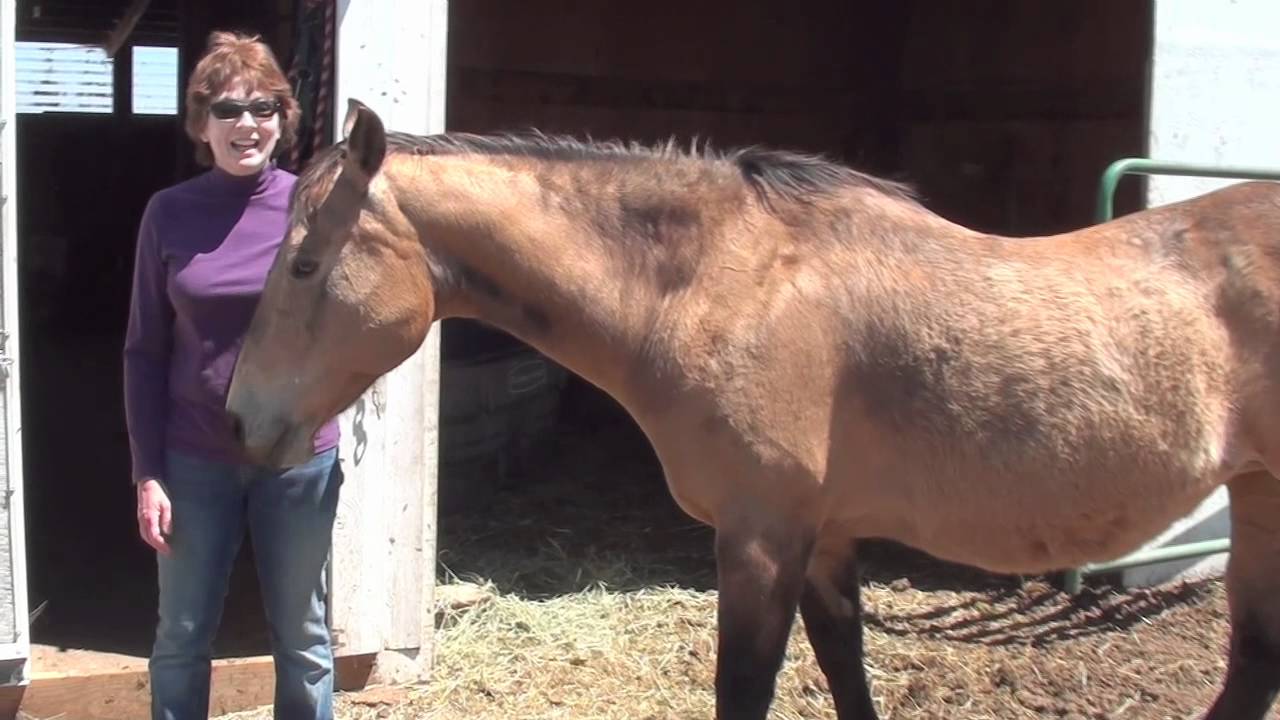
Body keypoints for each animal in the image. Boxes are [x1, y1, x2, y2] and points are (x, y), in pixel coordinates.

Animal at [225, 99, 1280, 720]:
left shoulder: (763, 538)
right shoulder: (825, 539)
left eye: (306, 264)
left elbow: (746, 689)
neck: (726, 287)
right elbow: (847, 672)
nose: (238, 421)